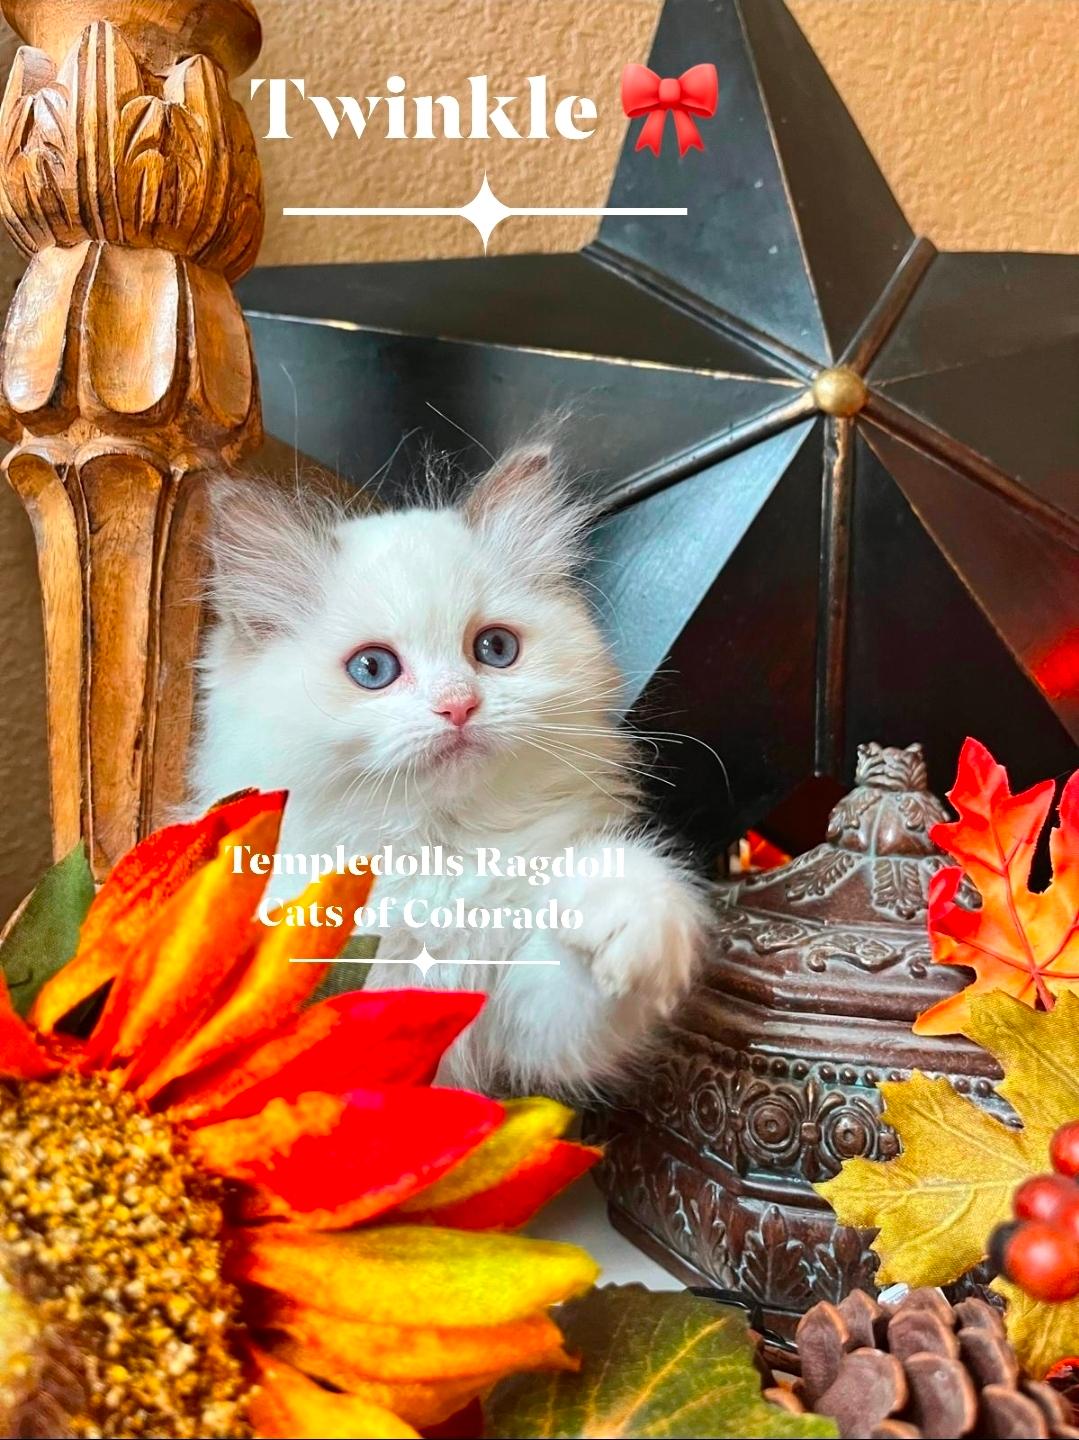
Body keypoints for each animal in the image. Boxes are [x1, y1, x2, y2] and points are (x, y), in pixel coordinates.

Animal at [189, 444, 710, 1095]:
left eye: (494, 649)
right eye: (372, 668)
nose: (458, 705)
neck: (437, 849)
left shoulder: (518, 1020)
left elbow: (575, 999)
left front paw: (629, 913)